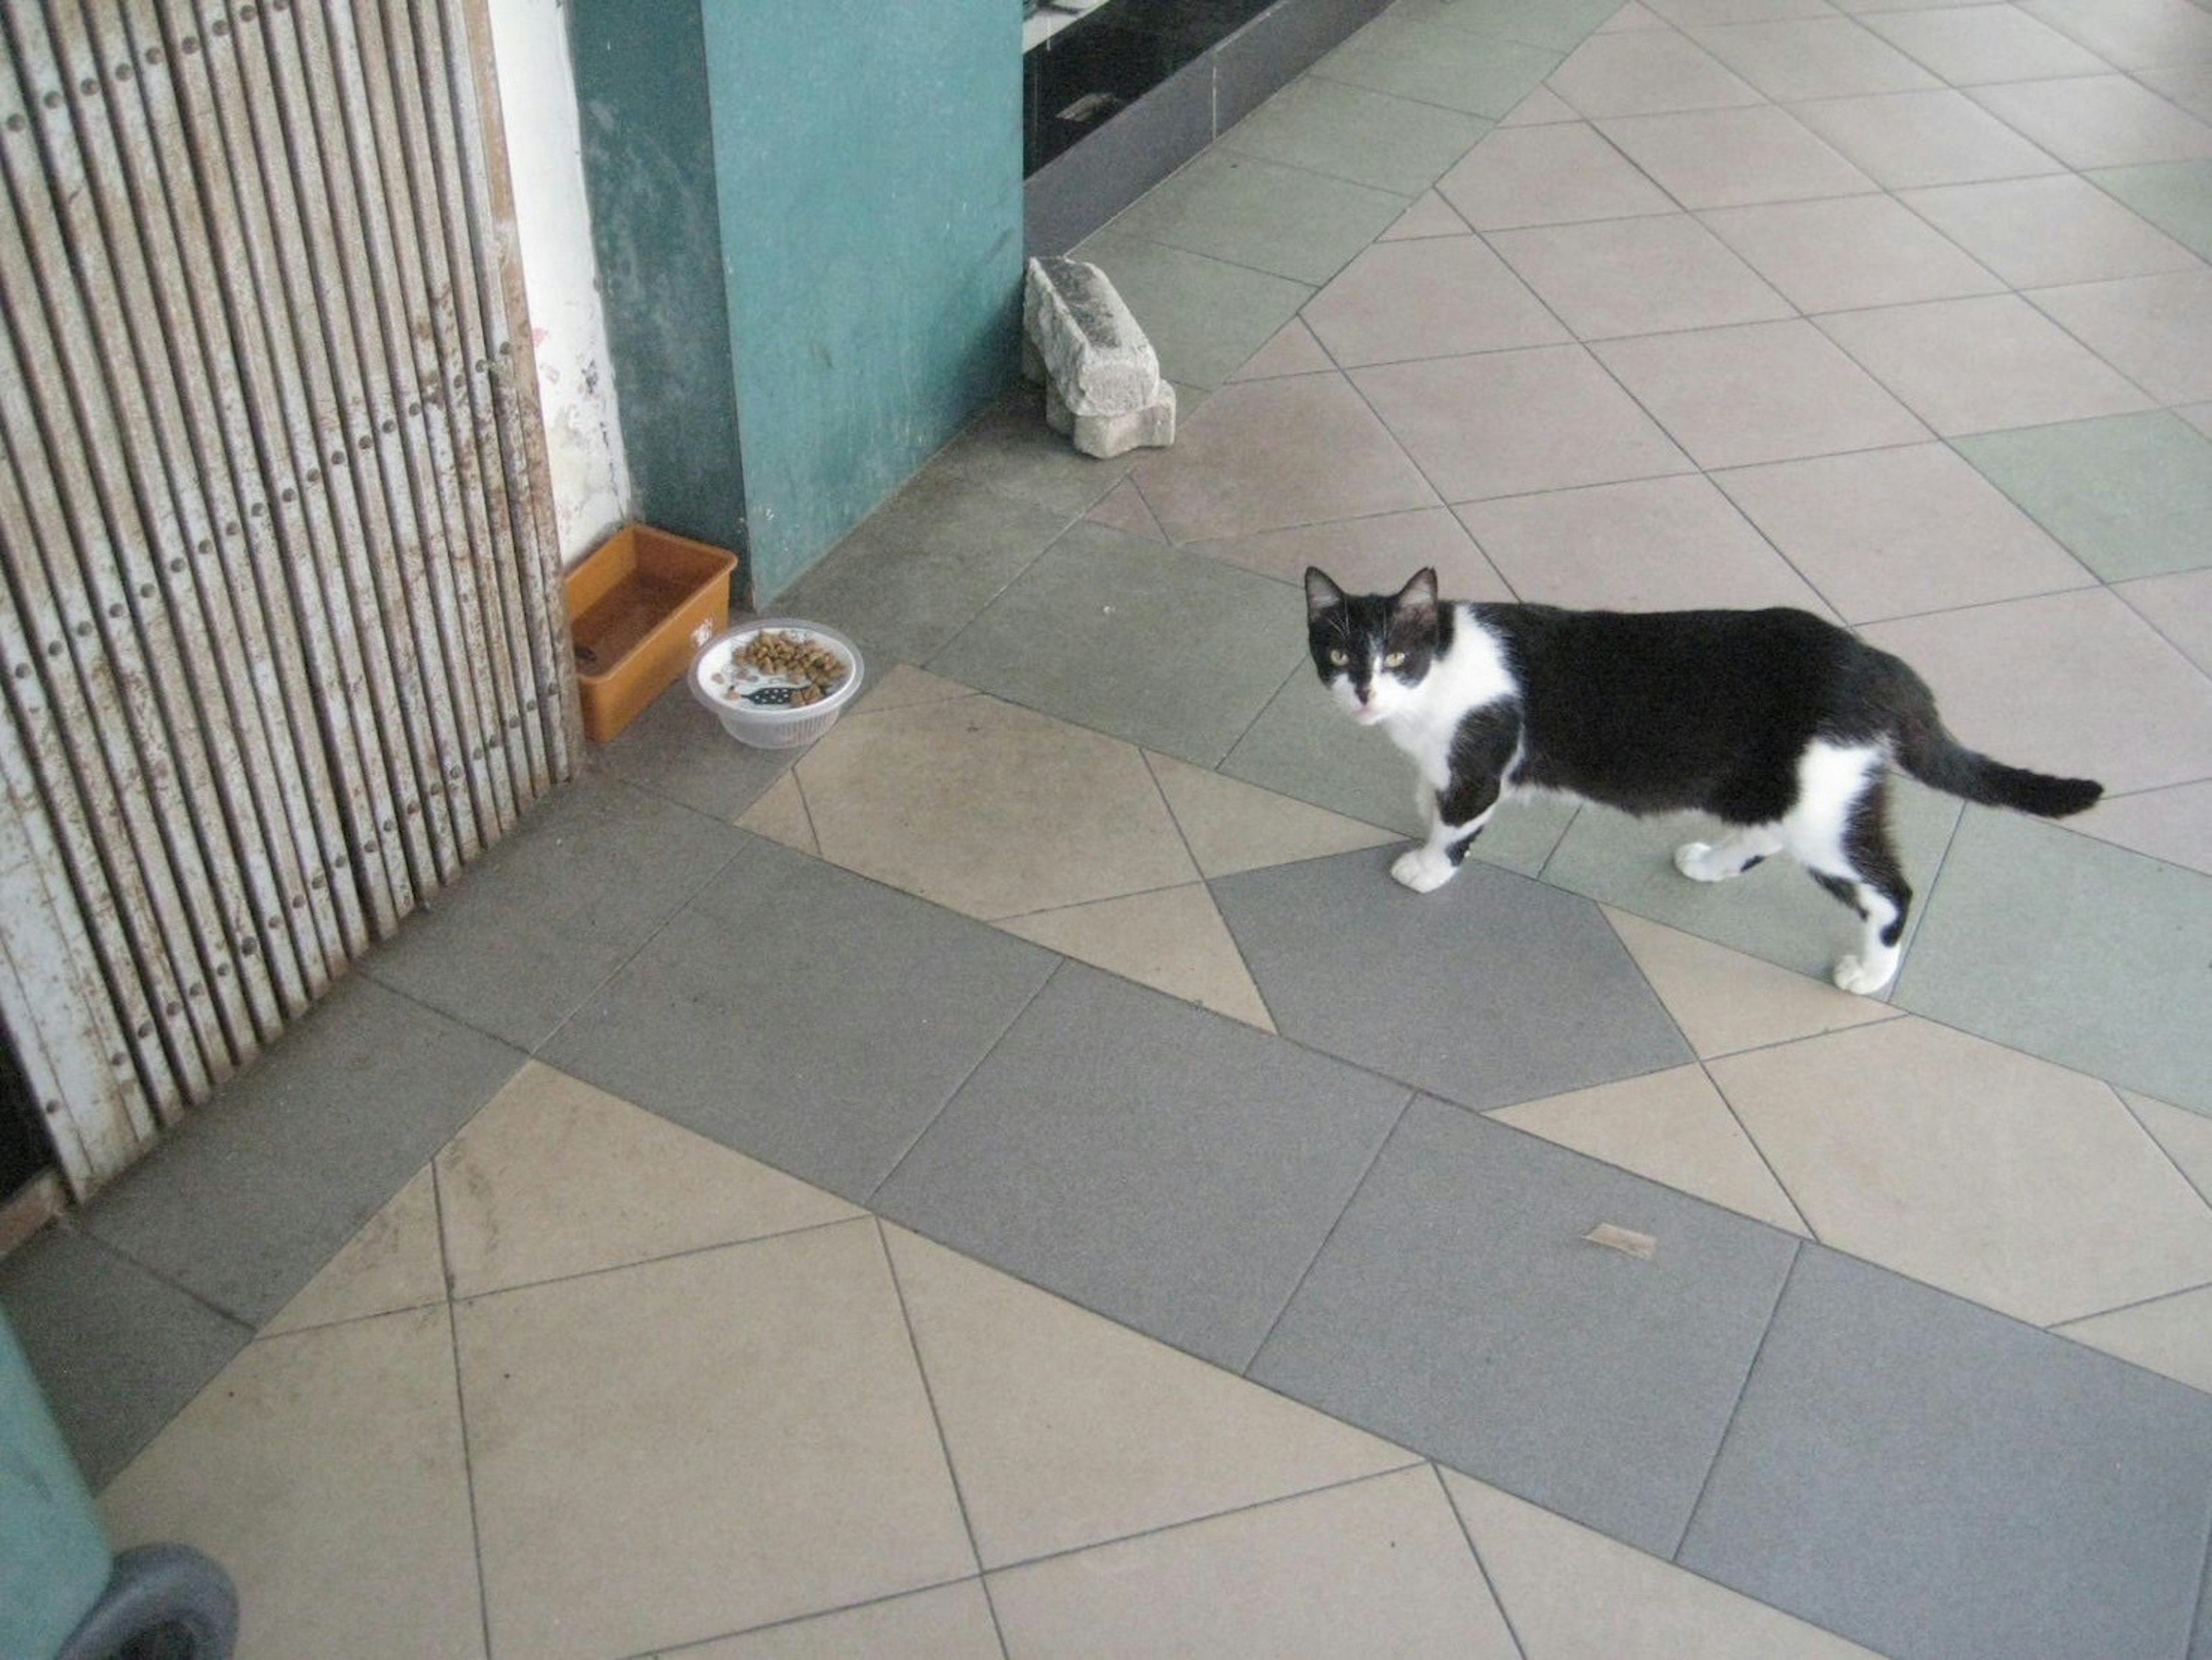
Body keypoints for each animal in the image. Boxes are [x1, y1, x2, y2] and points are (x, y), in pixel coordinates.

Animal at [1300, 566, 2097, 996]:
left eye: (1395, 657)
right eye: (1337, 655)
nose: (1364, 694)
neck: (1439, 668)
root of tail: (1879, 664)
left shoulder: (1476, 763)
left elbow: (1456, 820)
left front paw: (1428, 867)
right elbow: (1433, 800)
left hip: (1826, 808)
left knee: (1889, 889)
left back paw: (1870, 973)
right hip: (1772, 784)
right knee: (1767, 832)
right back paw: (1710, 861)